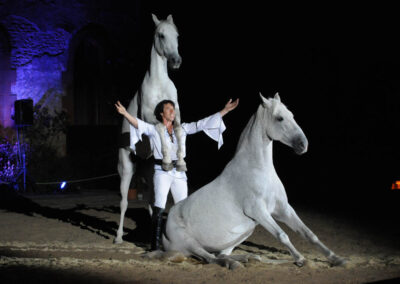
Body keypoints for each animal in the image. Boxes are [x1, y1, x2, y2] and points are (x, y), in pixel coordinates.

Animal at [115, 13, 184, 244]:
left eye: (176, 35)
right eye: (161, 35)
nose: (176, 61)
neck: (159, 83)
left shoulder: (178, 113)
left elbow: (178, 130)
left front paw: (179, 158)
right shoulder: (149, 118)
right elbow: (161, 130)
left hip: (149, 172)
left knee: (152, 204)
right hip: (126, 168)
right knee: (124, 202)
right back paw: (118, 237)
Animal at [164, 93, 346, 268]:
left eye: (292, 115)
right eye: (279, 118)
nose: (303, 145)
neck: (258, 170)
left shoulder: (283, 209)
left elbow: (309, 234)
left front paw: (337, 259)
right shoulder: (258, 210)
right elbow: (282, 235)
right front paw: (300, 259)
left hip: (240, 235)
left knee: (221, 255)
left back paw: (248, 258)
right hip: (191, 244)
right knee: (210, 258)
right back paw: (236, 263)